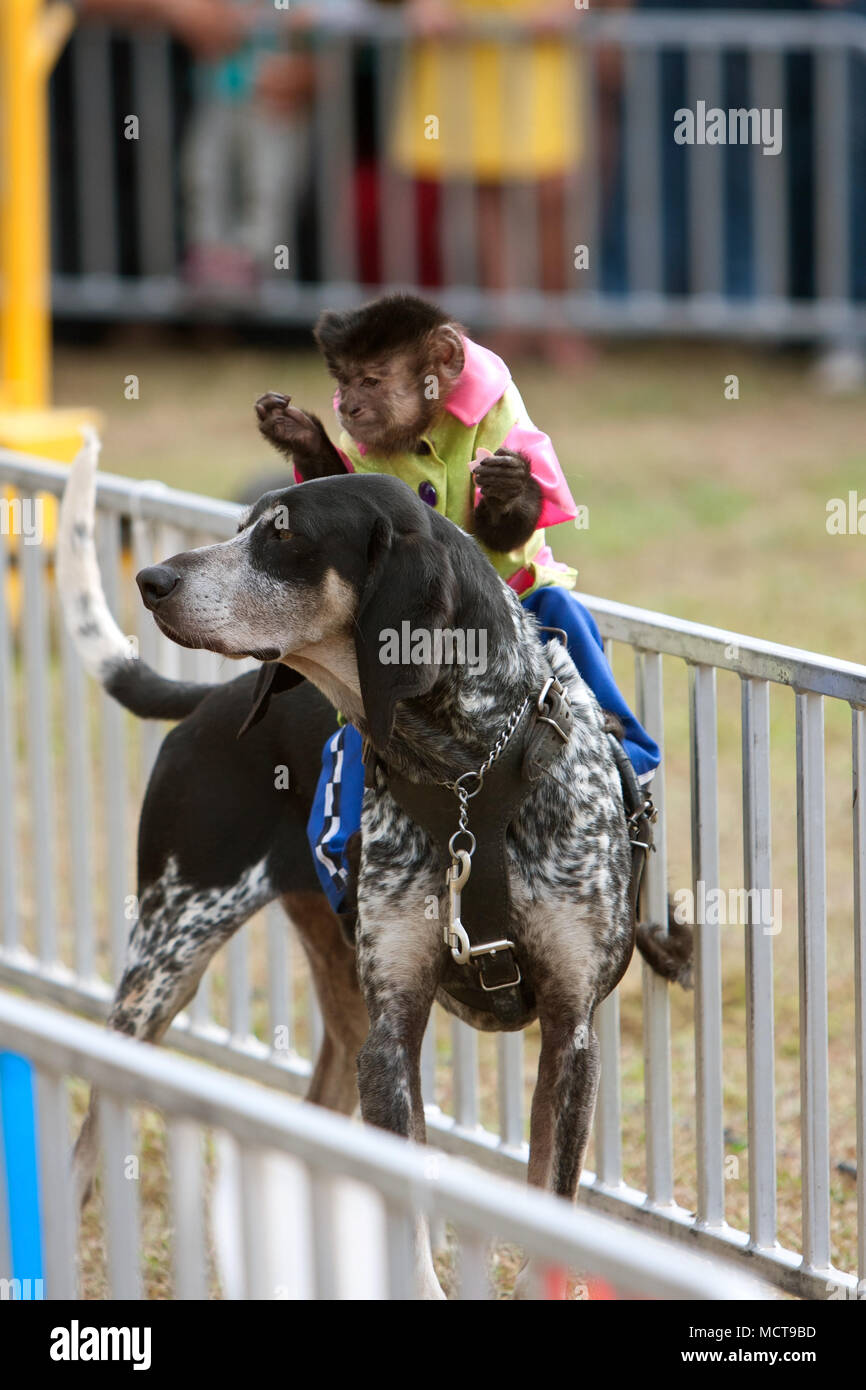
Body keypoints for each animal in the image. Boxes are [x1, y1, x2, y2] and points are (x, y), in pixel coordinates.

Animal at [59, 430, 692, 1289]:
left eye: (282, 534)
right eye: (244, 524)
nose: (151, 579)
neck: (468, 776)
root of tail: (212, 701)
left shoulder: (571, 1033)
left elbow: (550, 1215)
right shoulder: (393, 1034)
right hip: (163, 969)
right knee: (84, 1149)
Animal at [254, 293, 544, 553]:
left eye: (369, 382)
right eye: (343, 382)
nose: (347, 408)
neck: (427, 427)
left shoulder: (500, 415)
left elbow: (501, 538)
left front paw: (507, 489)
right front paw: (299, 436)